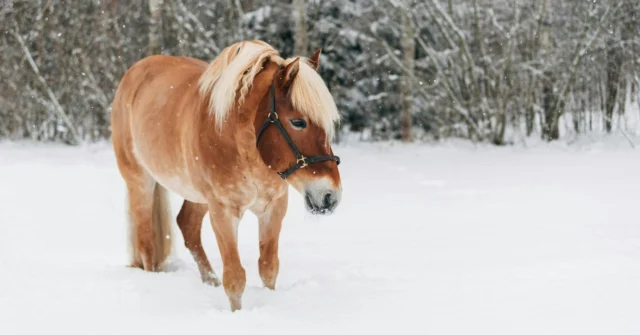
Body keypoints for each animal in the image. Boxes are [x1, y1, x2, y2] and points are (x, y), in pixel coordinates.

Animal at [109, 40, 344, 312]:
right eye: (298, 122)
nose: (330, 196)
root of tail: (135, 72)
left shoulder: (274, 208)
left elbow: (269, 267)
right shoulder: (223, 211)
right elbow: (234, 277)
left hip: (198, 197)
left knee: (187, 225)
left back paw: (209, 281)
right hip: (140, 181)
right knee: (147, 242)